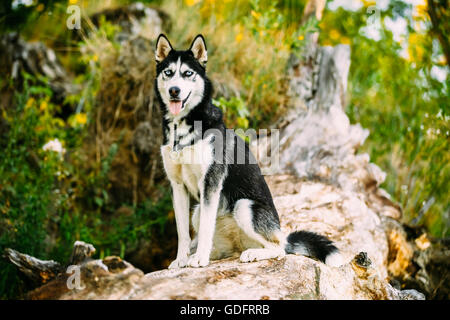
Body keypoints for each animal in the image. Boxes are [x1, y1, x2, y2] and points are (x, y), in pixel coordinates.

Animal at [155, 34, 342, 268]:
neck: (184, 126)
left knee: (279, 249)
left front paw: (199, 260)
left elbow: (206, 228)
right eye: (168, 72)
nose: (174, 91)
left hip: (244, 207)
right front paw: (181, 260)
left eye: (188, 73)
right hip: (199, 212)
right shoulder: (178, 185)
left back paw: (251, 253)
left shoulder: (211, 183)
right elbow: (182, 232)